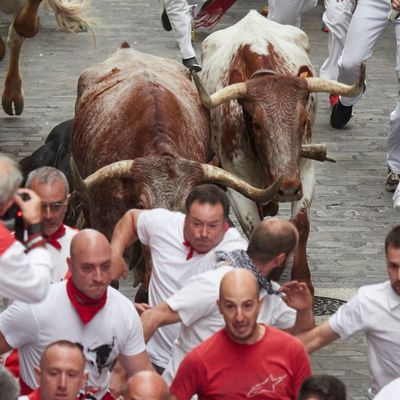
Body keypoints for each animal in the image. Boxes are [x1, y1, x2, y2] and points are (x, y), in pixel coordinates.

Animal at [195, 9, 366, 290]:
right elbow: (254, 225)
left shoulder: (304, 168)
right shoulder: (236, 179)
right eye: (256, 124)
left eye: (303, 121)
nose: (286, 188)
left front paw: (302, 279)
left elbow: (301, 224)